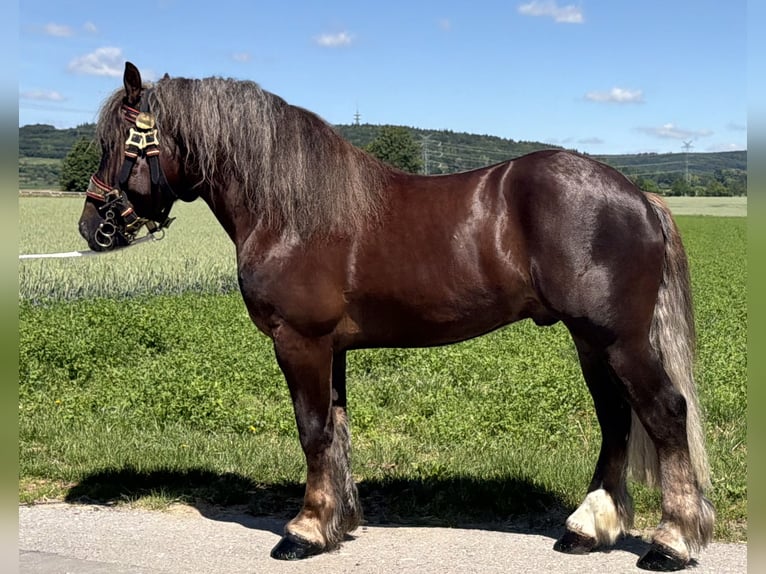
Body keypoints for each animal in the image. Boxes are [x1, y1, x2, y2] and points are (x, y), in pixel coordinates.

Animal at [78, 62, 714, 571]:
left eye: (117, 143)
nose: (92, 227)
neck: (290, 212)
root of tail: (637, 196)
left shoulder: (300, 342)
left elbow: (312, 431)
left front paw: (303, 532)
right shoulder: (330, 349)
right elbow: (335, 431)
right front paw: (337, 522)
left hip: (618, 340)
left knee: (664, 413)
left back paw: (671, 543)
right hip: (591, 342)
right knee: (616, 421)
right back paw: (588, 528)